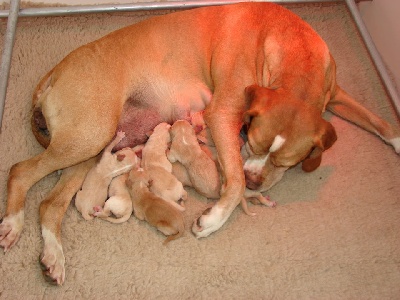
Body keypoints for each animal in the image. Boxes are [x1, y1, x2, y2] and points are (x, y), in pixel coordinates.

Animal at [0, 1, 400, 284]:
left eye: (285, 162)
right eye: (253, 143)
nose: (257, 180)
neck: (292, 50)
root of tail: (52, 74)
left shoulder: (335, 94)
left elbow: (380, 121)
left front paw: (395, 137)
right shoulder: (222, 114)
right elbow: (233, 181)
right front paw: (213, 219)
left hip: (89, 147)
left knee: (50, 204)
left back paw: (53, 257)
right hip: (87, 136)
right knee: (20, 171)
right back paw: (13, 224)